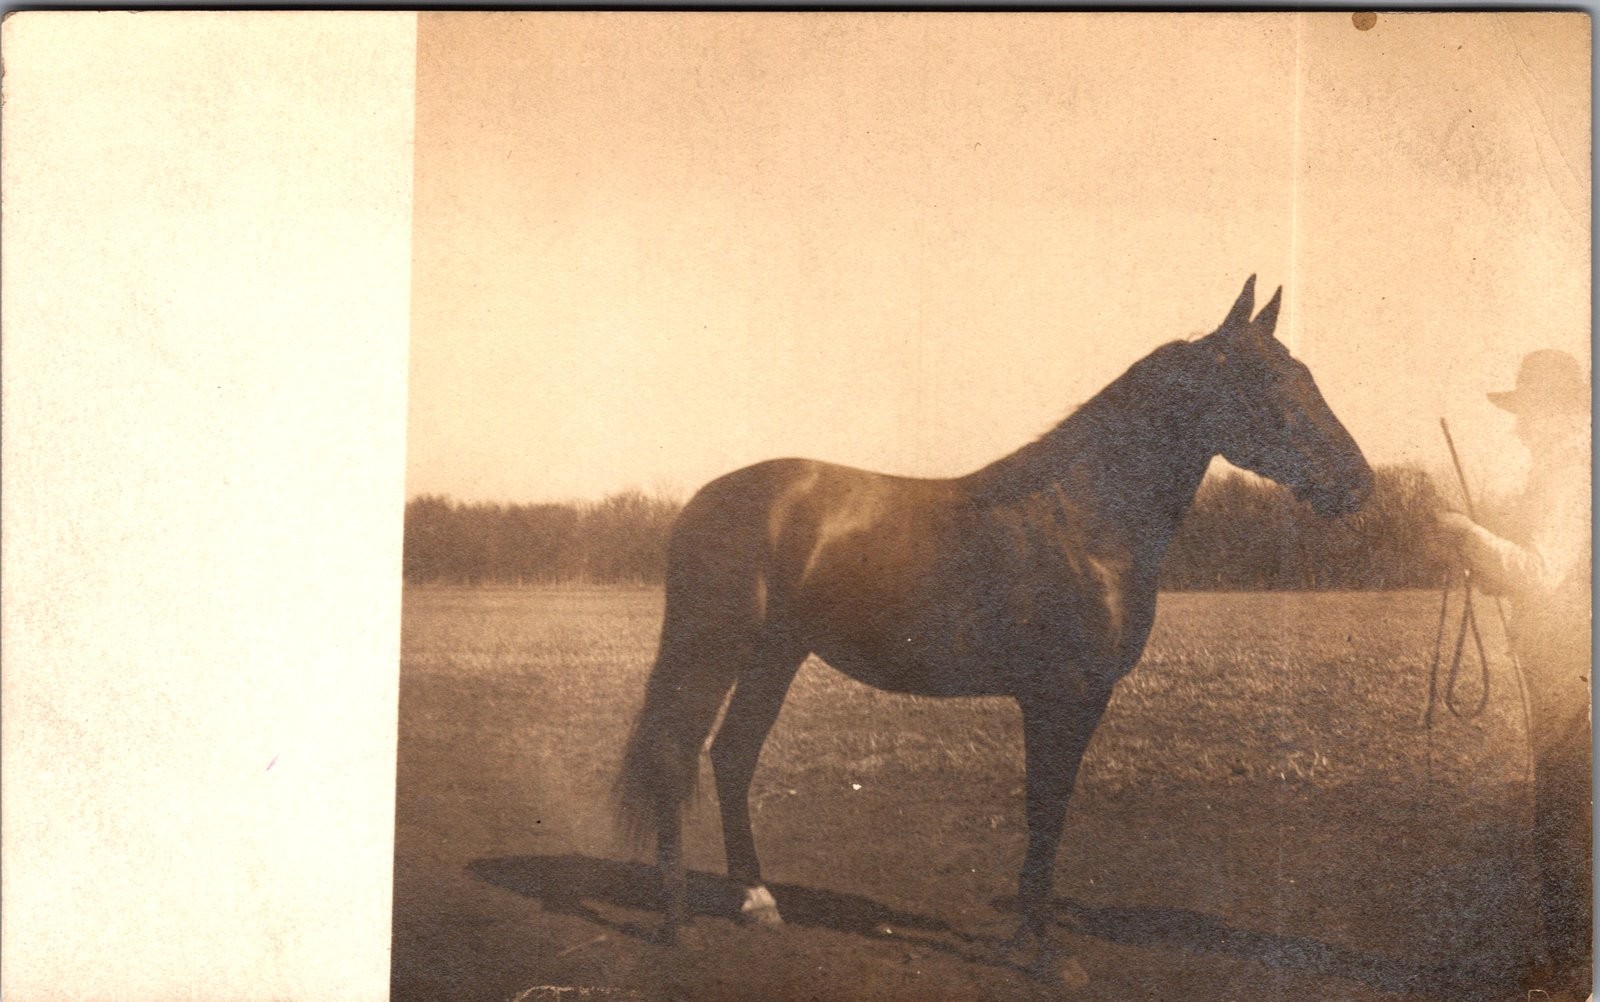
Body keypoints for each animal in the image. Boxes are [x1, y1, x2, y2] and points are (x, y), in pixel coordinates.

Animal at [615, 276, 1373, 981]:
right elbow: (1046, 810)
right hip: (712, 649)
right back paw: (677, 923)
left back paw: (757, 902)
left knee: (732, 755)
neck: (1085, 521)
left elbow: (1049, 813)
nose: (1359, 483)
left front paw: (1023, 942)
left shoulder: (1078, 699)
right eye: (1264, 380)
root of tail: (701, 502)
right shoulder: (1058, 696)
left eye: (1304, 373)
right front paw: (1045, 954)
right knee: (677, 756)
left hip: (776, 656)